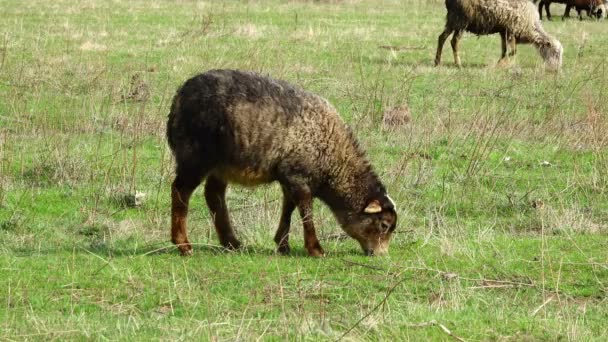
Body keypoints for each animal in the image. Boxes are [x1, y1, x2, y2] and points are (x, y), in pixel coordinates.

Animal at [165, 69, 400, 256]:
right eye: (384, 224)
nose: (381, 255)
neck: (332, 162)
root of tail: (179, 96)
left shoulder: (288, 176)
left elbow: (289, 209)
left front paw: (283, 245)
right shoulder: (298, 176)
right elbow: (306, 212)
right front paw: (315, 249)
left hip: (222, 164)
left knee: (213, 195)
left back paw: (232, 243)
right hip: (195, 156)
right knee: (180, 191)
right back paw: (183, 245)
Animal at [434, 0, 564, 70]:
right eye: (555, 53)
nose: (556, 70)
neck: (531, 27)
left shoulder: (503, 31)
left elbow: (504, 50)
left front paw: (499, 63)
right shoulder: (511, 30)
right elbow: (513, 51)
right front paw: (501, 64)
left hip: (453, 20)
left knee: (442, 38)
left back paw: (437, 62)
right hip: (461, 20)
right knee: (454, 41)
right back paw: (458, 64)